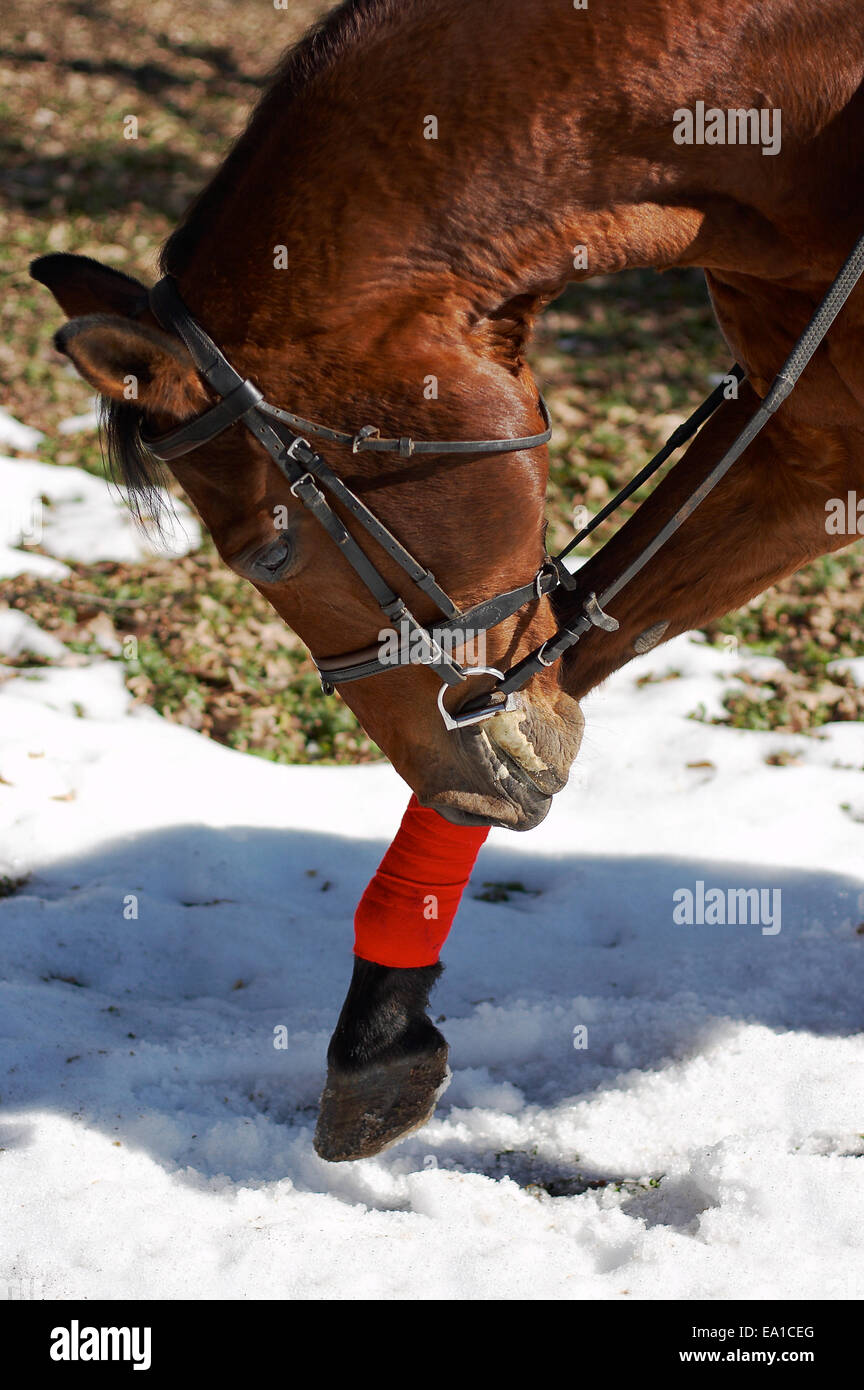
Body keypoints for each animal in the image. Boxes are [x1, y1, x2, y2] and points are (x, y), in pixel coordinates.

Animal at [31, 0, 864, 1160]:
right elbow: (571, 646)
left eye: (268, 554)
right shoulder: (809, 443)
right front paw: (379, 1029)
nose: (468, 784)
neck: (799, 99)